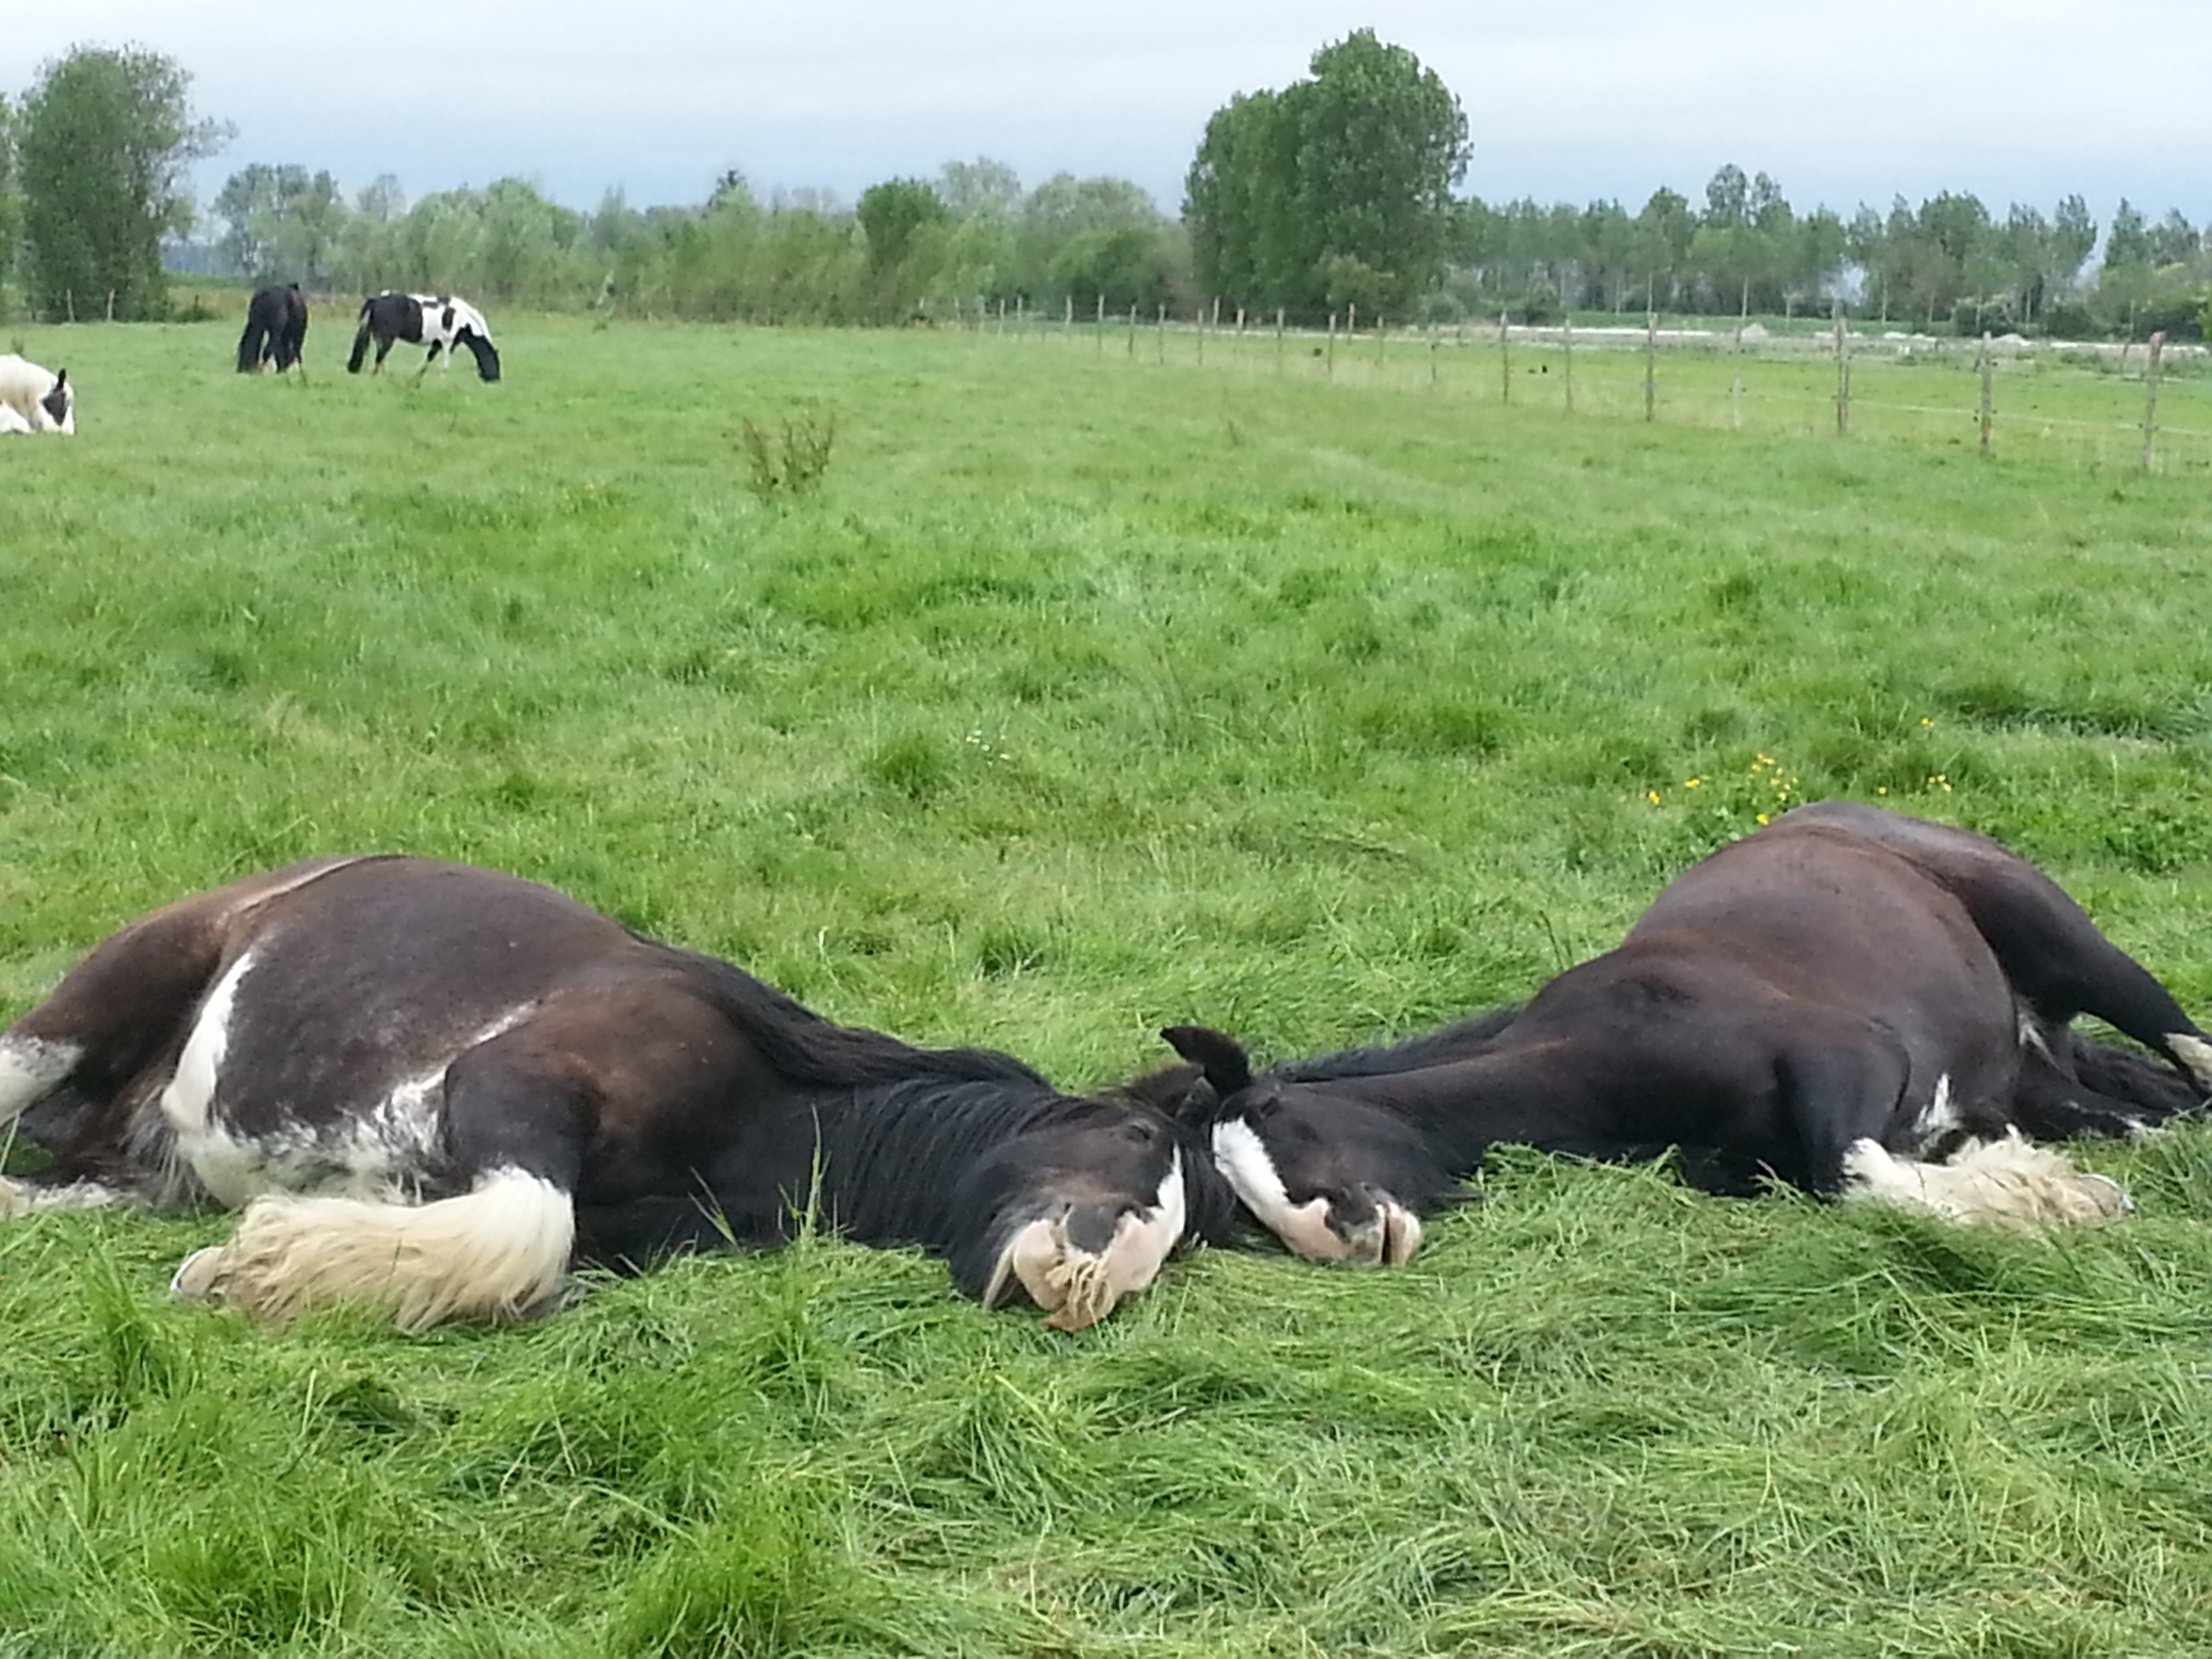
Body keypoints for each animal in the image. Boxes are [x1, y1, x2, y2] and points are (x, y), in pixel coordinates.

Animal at [0, 857, 1241, 1331]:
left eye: (1186, 1239)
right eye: (1138, 1136)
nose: (1085, 1284)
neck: (759, 1106)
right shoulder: (508, 1084)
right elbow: (524, 1227)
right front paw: (259, 1267)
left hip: (122, 1173)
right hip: (92, 1003)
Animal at [237, 284, 309, 373]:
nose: (240, 369)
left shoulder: (276, 330)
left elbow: (270, 350)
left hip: (298, 332)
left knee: (296, 350)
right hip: (287, 333)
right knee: (287, 349)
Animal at [347, 292, 500, 381]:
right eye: (495, 361)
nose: (496, 379)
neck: (461, 319)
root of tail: (376, 301)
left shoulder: (437, 343)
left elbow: (428, 361)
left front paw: (416, 378)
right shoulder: (447, 343)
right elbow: (445, 366)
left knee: (378, 356)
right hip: (387, 338)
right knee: (380, 357)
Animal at [1166, 801, 2212, 1264]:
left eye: (1287, 1127)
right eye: (1243, 1206)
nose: (1344, 1242)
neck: (1606, 1057)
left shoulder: (1854, 1059)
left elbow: (1852, 1172)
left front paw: (2058, 1204)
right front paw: (2039, 1190)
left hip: (2074, 945)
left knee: (2192, 1054)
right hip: (2041, 1072)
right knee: (2148, 1113)